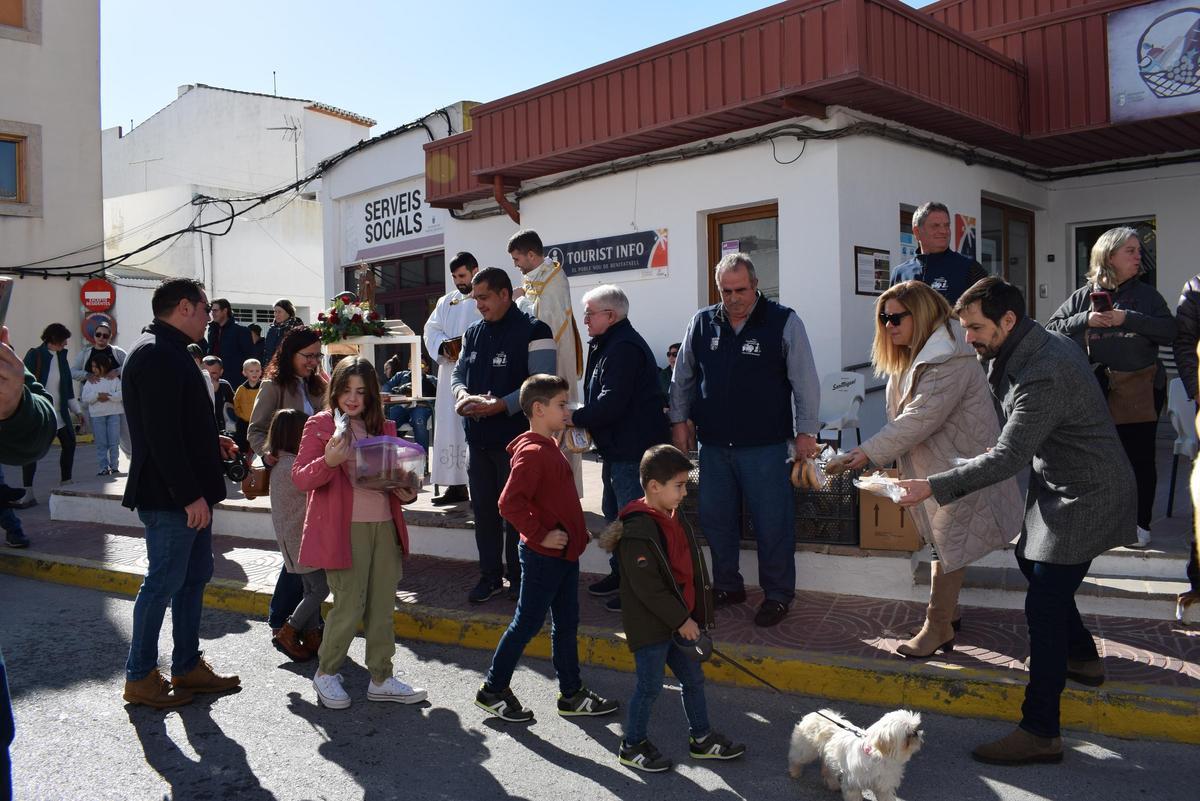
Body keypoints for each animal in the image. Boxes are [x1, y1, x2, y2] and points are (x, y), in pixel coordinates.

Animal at [792, 705, 921, 801]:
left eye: (916, 727)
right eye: (908, 734)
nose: (917, 732)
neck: (878, 756)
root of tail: (815, 714)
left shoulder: (883, 784)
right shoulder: (853, 783)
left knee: (827, 770)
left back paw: (833, 785)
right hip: (806, 751)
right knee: (796, 758)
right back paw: (795, 772)